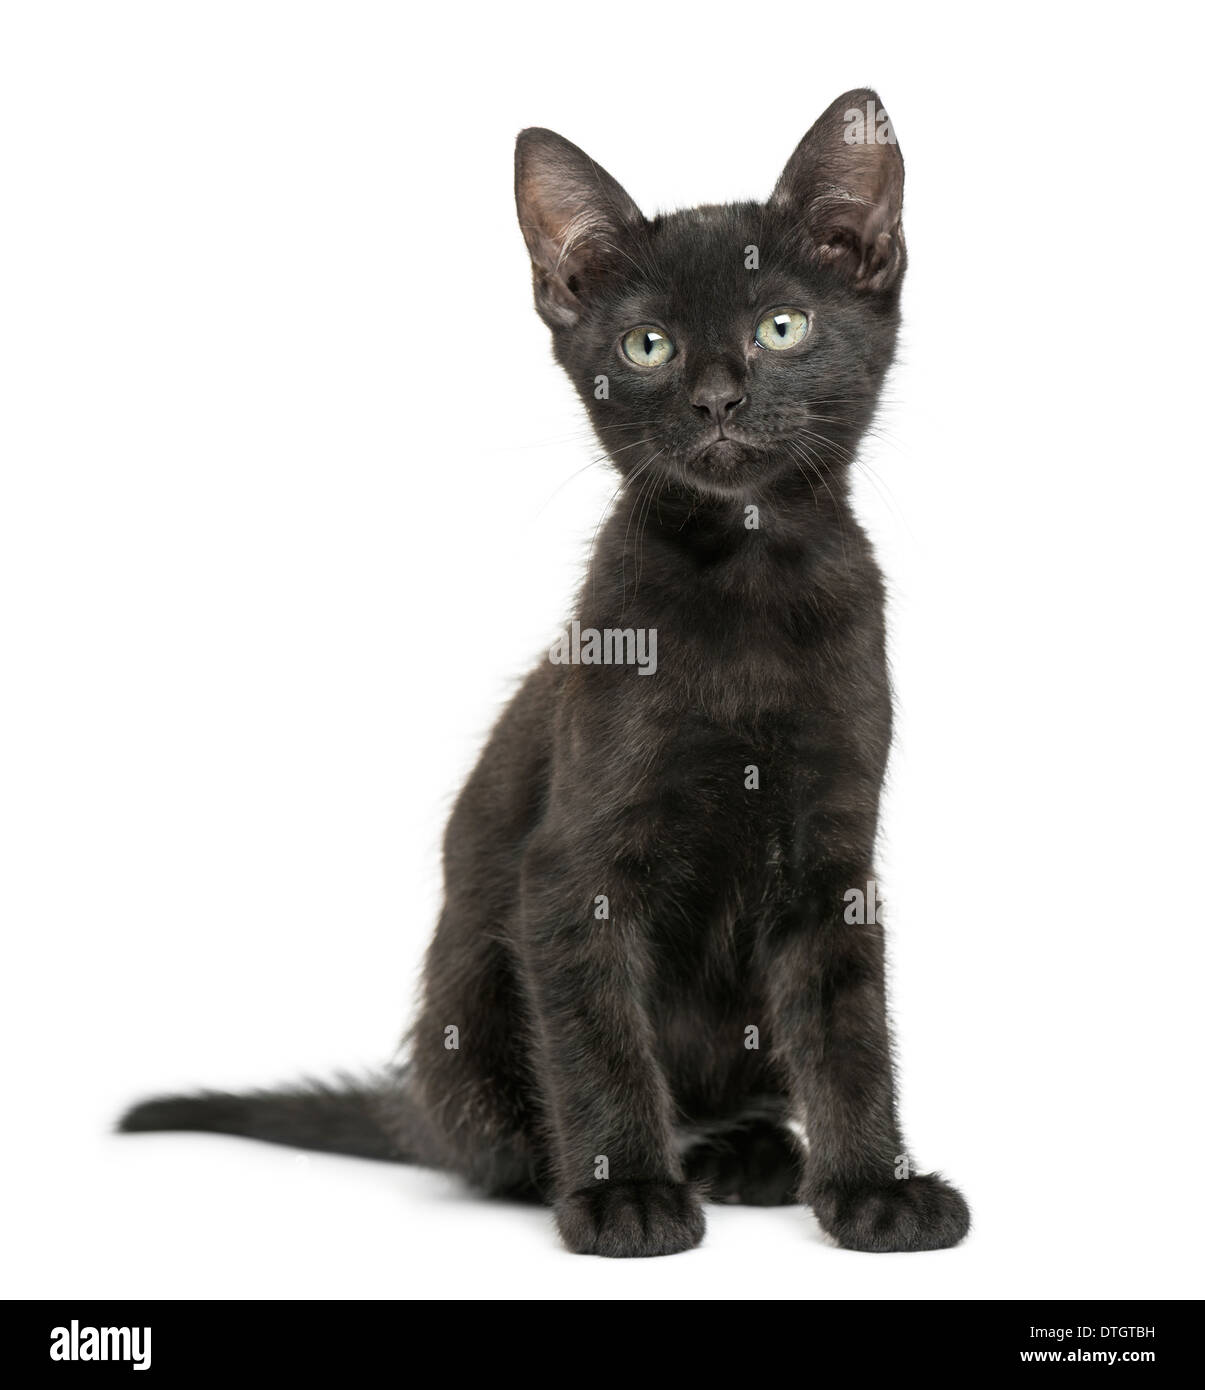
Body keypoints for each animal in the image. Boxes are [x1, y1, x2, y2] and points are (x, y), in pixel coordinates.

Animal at [122, 86, 972, 1262]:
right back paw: (656, 1164)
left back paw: (749, 1150)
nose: (715, 400)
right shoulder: (572, 866)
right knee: (496, 1144)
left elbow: (848, 1030)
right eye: (648, 344)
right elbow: (596, 1035)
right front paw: (626, 1195)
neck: (745, 582)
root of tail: (418, 1108)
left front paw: (873, 1190)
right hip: (472, 1008)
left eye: (781, 327)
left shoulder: (832, 856)